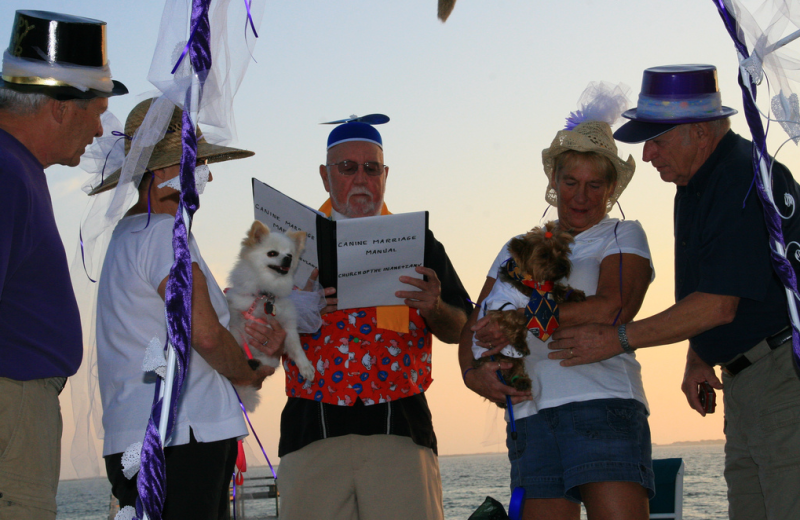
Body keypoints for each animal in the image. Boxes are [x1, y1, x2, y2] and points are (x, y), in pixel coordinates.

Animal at [227, 219, 314, 410]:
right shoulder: (238, 319)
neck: (267, 294)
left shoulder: (287, 327)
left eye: (290, 254)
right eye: (272, 253)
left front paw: (306, 367)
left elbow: (297, 349)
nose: (287, 258)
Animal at [472, 220, 584, 402]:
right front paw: (520, 341)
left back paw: (521, 381)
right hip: (492, 359)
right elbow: (514, 319)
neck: (533, 283)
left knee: (515, 368)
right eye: (544, 254)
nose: (562, 266)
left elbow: (558, 289)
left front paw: (573, 293)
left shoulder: (549, 290)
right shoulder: (499, 305)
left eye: (561, 250)